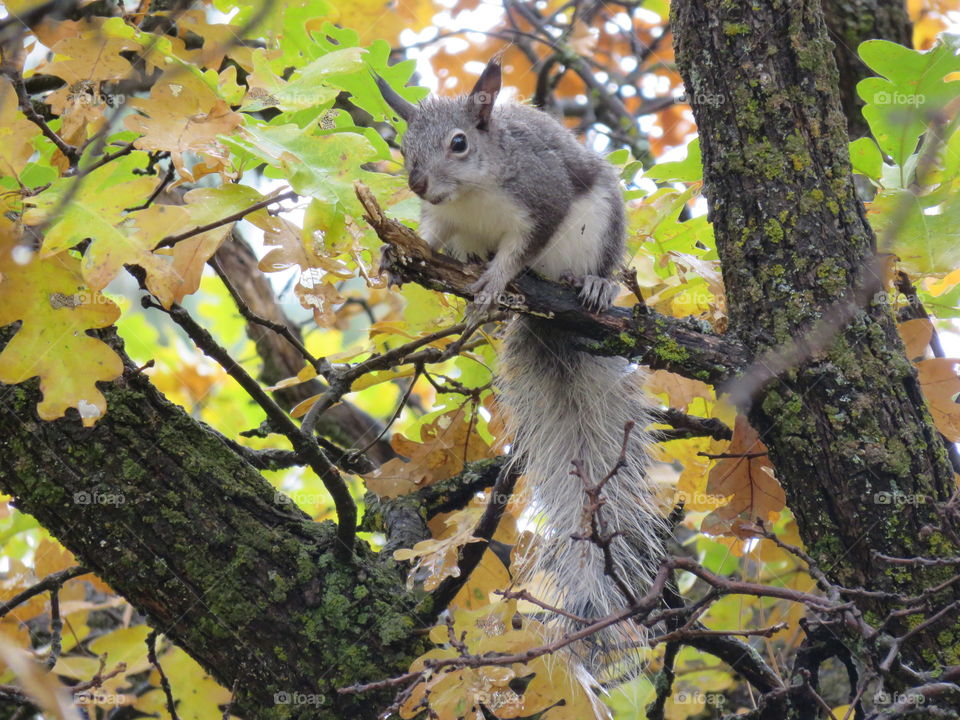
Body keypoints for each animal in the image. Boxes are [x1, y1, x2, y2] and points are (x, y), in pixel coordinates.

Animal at [376, 60, 668, 676]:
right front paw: (395, 252)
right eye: (404, 144)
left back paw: (592, 284)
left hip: (599, 226)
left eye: (460, 143)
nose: (417, 183)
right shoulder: (442, 219)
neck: (471, 194)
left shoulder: (541, 198)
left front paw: (492, 285)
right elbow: (429, 236)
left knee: (584, 266)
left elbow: (519, 252)